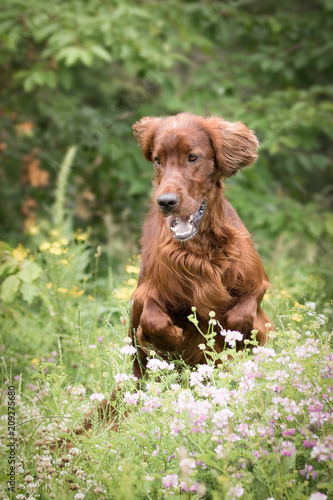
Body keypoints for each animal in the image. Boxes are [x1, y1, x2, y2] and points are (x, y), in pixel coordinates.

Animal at [129, 113, 270, 378]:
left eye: (192, 157)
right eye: (157, 160)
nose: (166, 202)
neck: (200, 245)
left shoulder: (257, 283)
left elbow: (242, 313)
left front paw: (232, 338)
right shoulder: (147, 290)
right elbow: (151, 318)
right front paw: (173, 338)